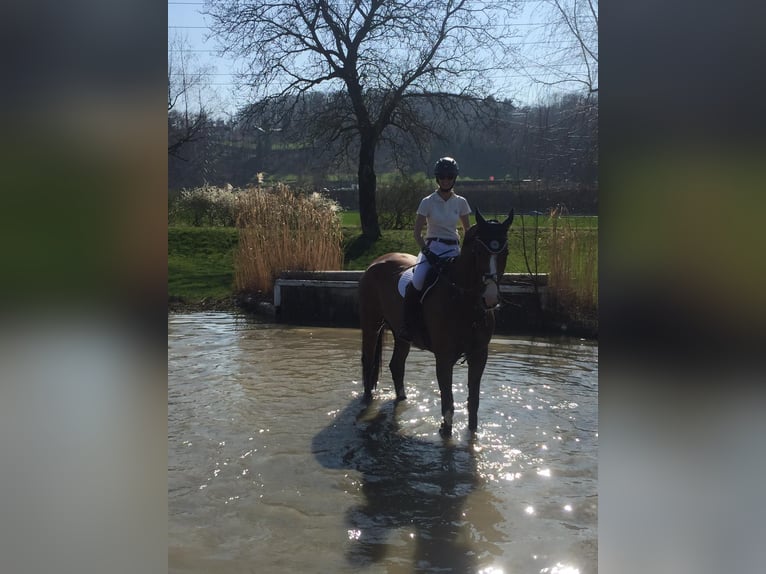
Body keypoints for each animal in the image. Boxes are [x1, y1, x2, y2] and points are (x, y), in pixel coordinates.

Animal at [358, 209, 516, 438]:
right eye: (478, 252)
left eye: (506, 252)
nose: (490, 298)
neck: (464, 302)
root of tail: (375, 262)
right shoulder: (444, 357)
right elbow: (448, 402)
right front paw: (445, 432)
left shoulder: (479, 355)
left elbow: (473, 402)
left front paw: (472, 436)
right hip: (371, 325)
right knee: (368, 362)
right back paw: (368, 401)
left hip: (401, 335)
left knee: (396, 365)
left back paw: (402, 400)